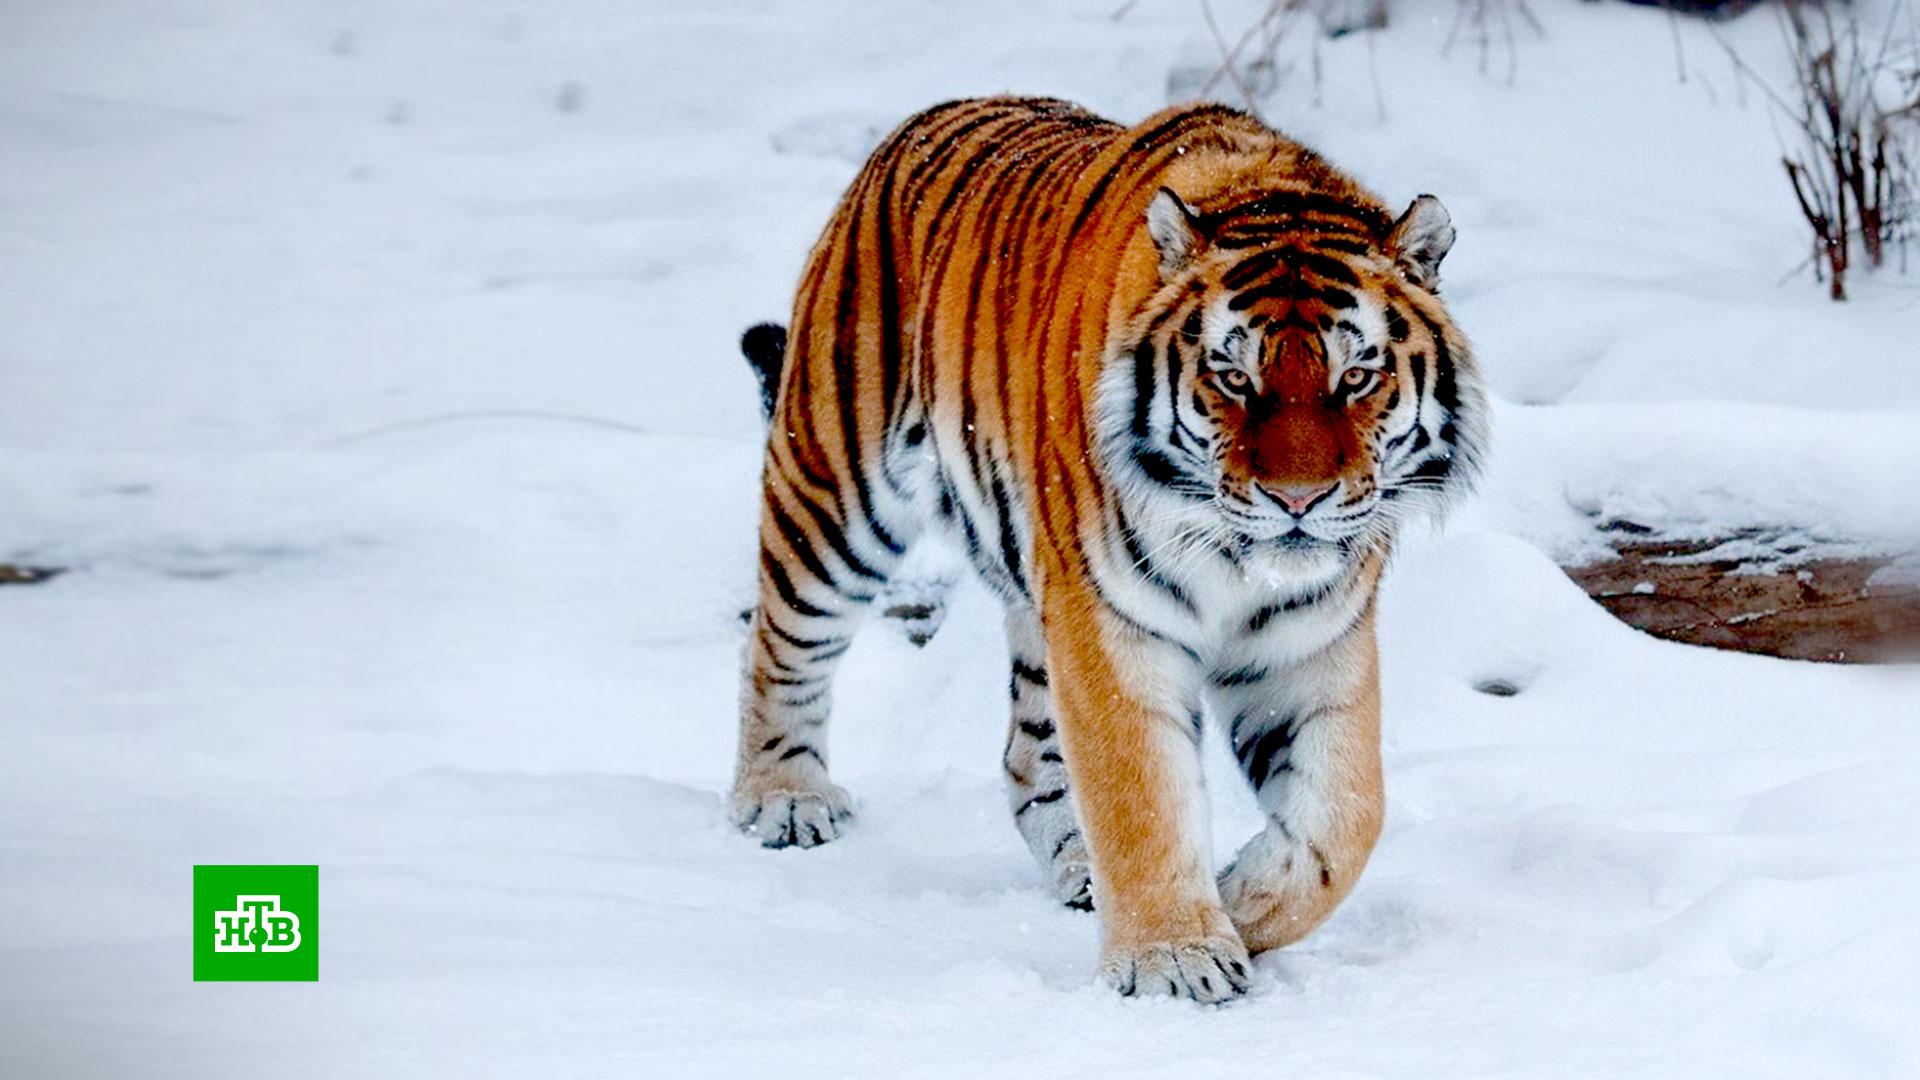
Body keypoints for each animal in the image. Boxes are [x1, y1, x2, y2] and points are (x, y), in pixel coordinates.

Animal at [725, 96, 1489, 999]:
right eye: (1233, 379)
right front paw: (1176, 957)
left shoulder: (1310, 641)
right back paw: (782, 798)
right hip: (834, 491)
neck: (1240, 563)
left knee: (1028, 753)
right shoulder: (1112, 625)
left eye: (1357, 377)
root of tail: (920, 122)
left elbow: (1346, 815)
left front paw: (1242, 902)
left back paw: (1079, 866)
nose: (1296, 500)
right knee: (780, 647)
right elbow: (1142, 795)